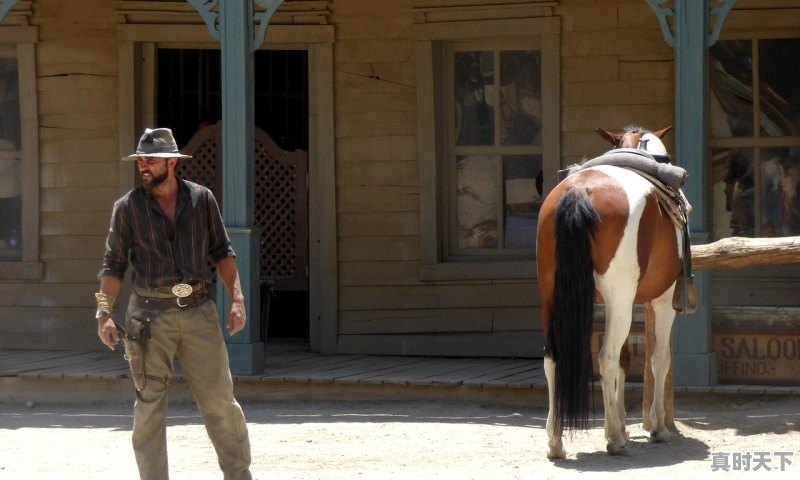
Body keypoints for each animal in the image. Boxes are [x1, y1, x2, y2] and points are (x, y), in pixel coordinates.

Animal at [536, 125, 684, 460]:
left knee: (553, 357)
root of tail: (579, 191)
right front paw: (656, 427)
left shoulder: (618, 304)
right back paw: (614, 440)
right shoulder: (661, 301)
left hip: (552, 296)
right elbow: (659, 359)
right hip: (622, 299)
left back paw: (555, 441)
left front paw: (624, 424)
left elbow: (625, 362)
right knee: (606, 357)